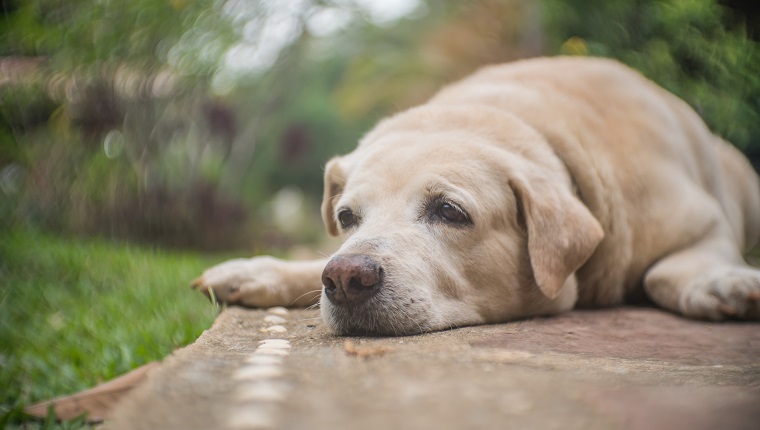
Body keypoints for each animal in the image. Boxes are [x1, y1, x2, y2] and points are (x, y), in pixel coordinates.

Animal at [191, 56, 760, 336]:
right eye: (347, 216)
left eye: (450, 211)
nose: (346, 279)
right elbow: (313, 262)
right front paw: (258, 271)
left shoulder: (704, 223)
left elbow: (667, 271)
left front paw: (723, 283)